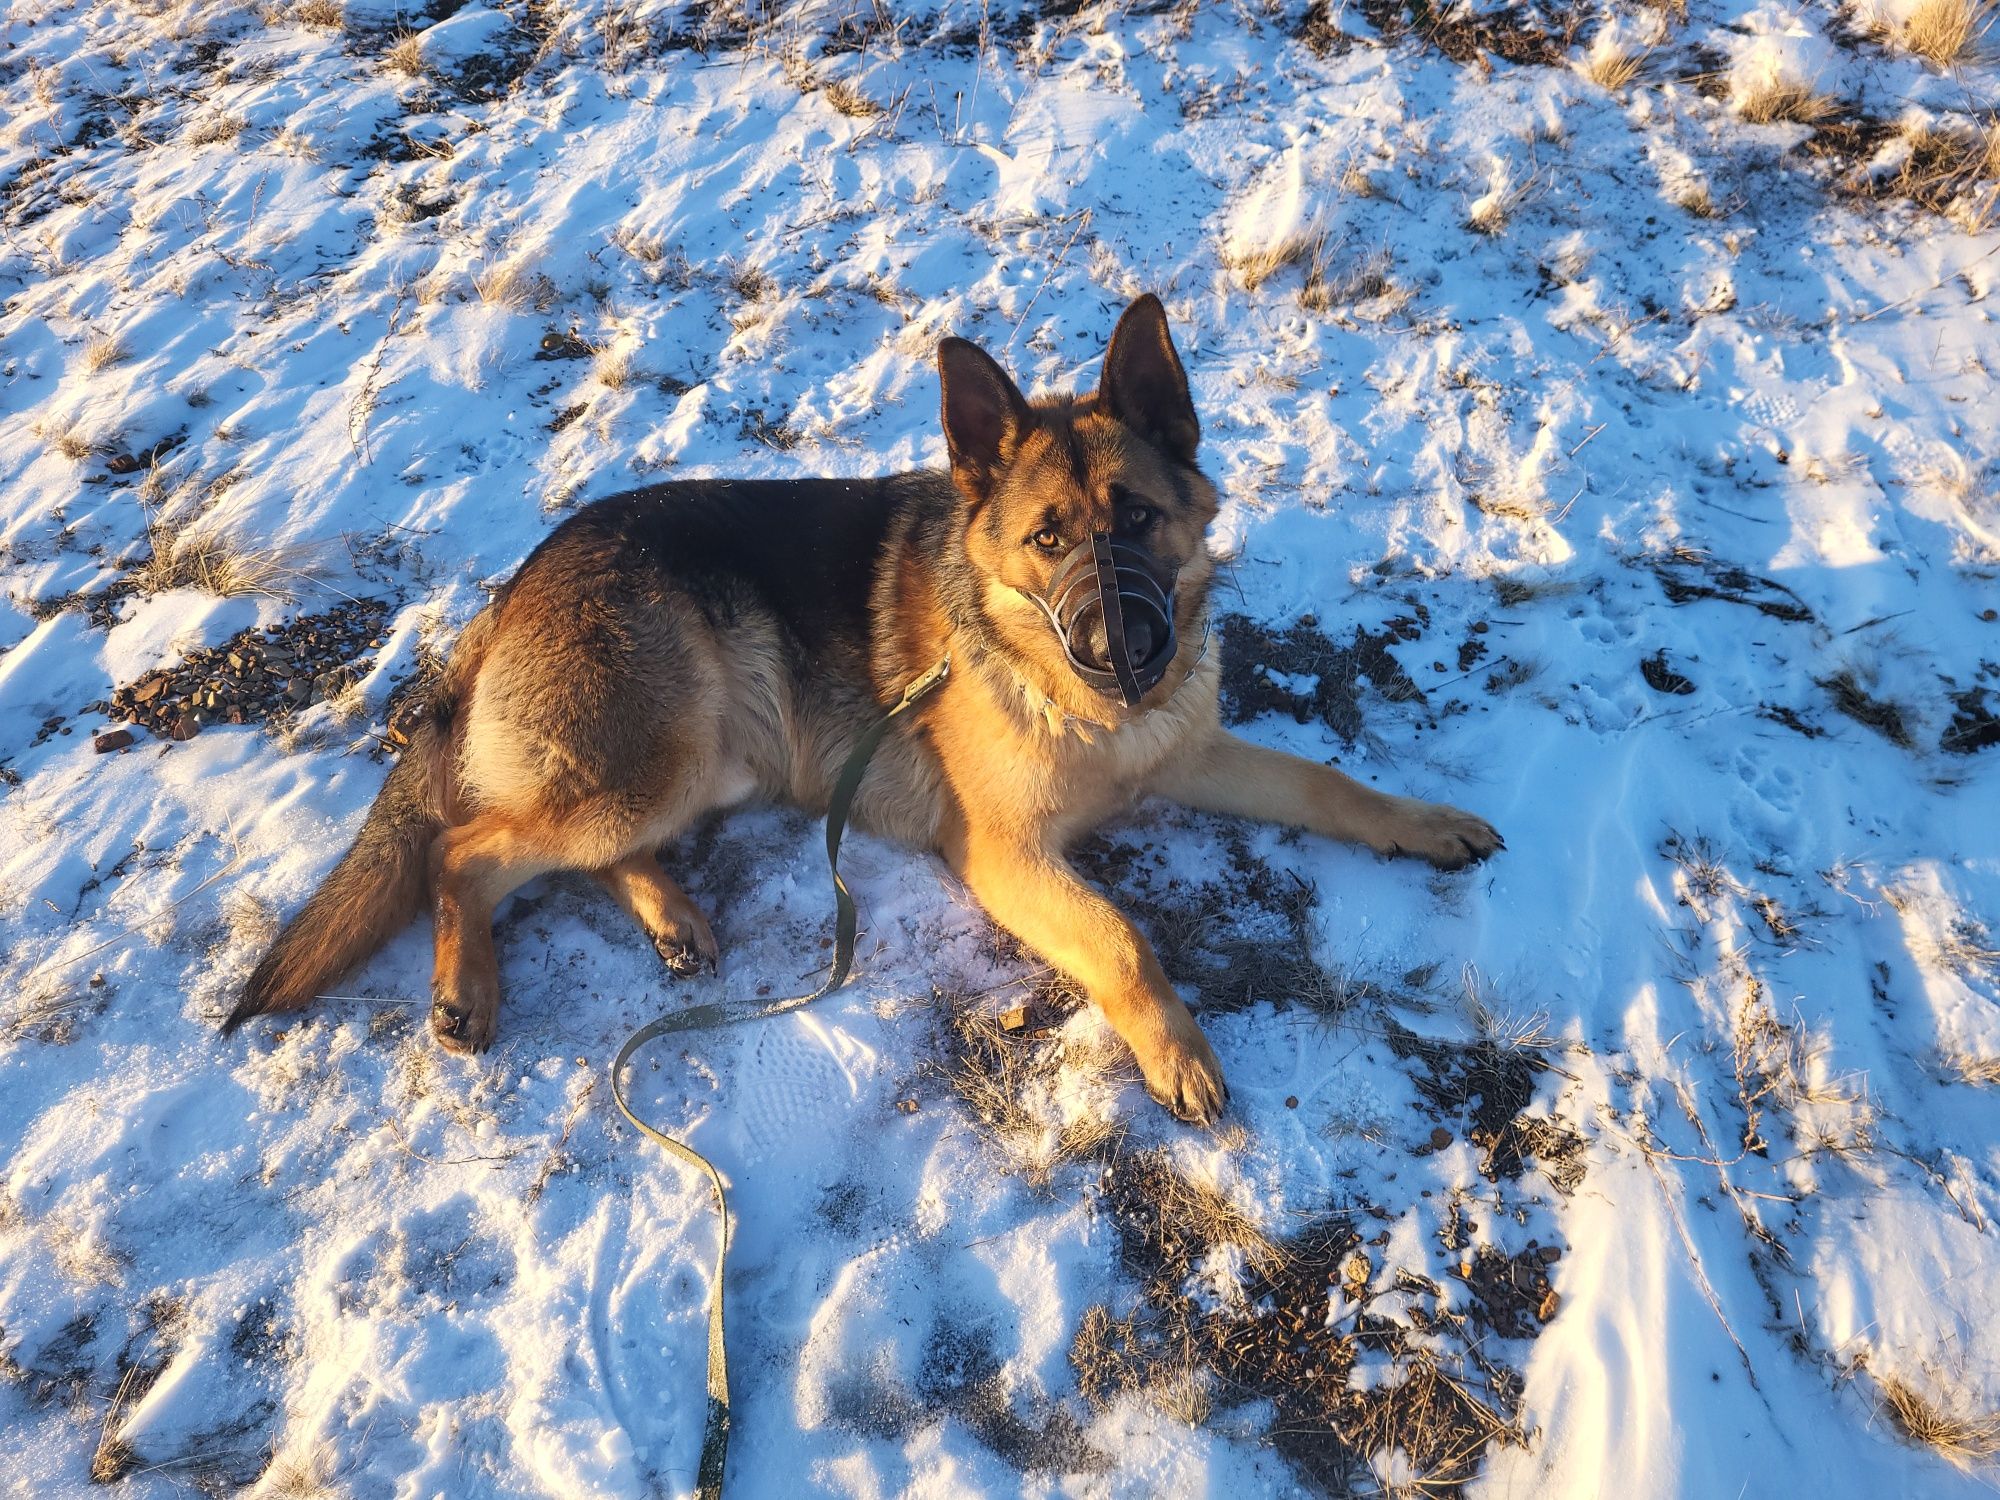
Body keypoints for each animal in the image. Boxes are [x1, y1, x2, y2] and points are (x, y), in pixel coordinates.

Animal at [223, 296, 1504, 1128]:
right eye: (1047, 540)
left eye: (1135, 518)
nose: (1123, 653)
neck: (1080, 704)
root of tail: (517, 586)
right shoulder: (999, 853)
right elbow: (1119, 937)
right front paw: (1175, 1048)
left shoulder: (1186, 753)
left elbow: (1326, 785)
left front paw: (1424, 822)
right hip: (666, 753)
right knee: (463, 846)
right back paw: (467, 985)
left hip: (701, 764)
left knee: (559, 845)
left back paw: (668, 916)